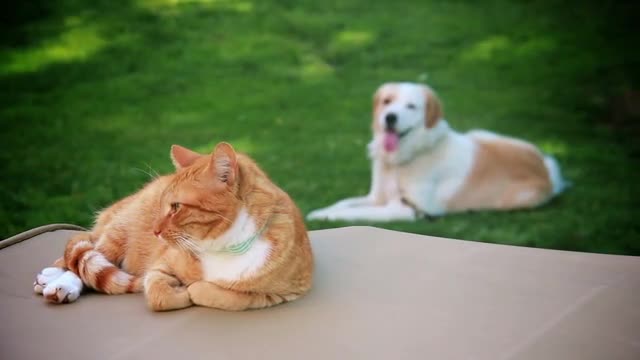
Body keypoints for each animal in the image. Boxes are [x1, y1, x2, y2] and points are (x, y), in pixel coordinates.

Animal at [33, 142, 314, 310]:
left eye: (176, 207)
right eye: (163, 205)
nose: (155, 231)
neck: (225, 245)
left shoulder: (283, 293)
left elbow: (229, 297)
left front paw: (195, 289)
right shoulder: (161, 264)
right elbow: (158, 294)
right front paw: (181, 291)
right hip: (117, 233)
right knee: (81, 258)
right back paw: (57, 282)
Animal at [308, 82, 568, 222]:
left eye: (411, 106)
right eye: (387, 101)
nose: (390, 117)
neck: (400, 161)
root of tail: (546, 169)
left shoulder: (406, 209)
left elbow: (358, 213)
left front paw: (323, 218)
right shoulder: (376, 197)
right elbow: (344, 203)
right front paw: (320, 211)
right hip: (480, 133)